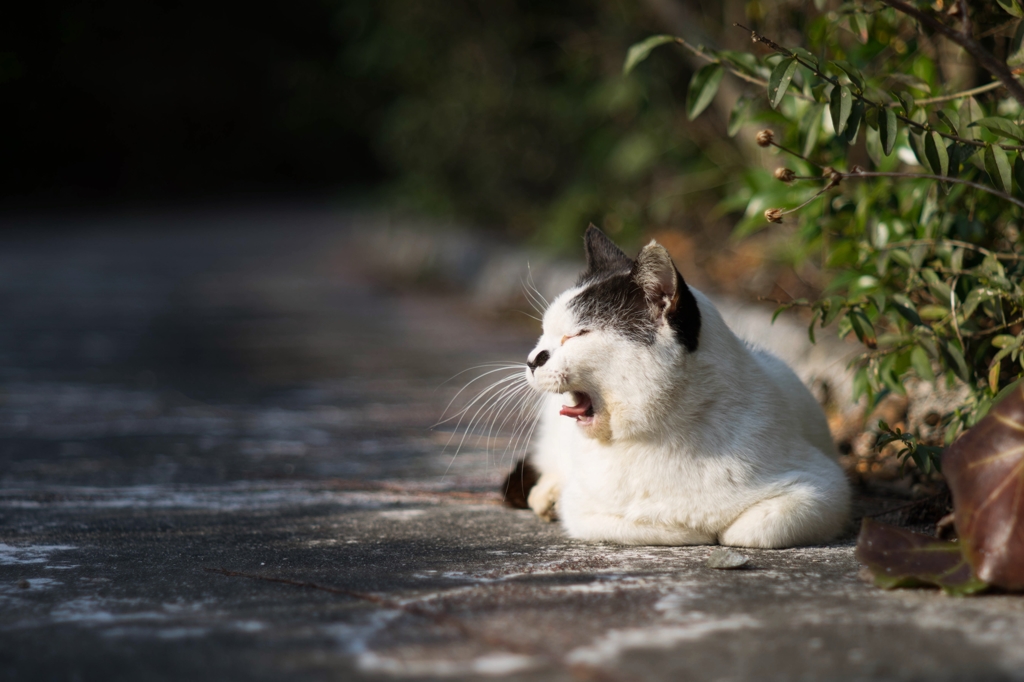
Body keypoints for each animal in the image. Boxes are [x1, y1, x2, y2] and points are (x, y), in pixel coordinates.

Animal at [524, 224, 851, 548]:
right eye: (544, 332)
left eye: (578, 334)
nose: (531, 359)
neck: (667, 433)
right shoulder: (583, 508)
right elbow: (658, 527)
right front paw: (694, 527)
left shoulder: (826, 487)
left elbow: (752, 530)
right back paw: (545, 496)